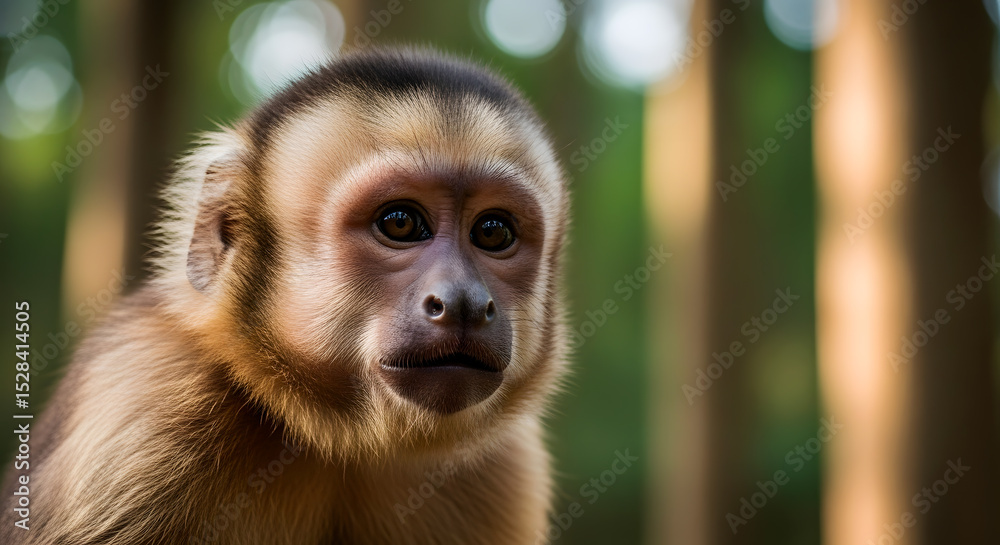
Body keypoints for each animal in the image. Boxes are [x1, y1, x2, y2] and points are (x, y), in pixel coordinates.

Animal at [0, 47, 570, 545]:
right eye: (400, 223)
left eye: (493, 232)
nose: (465, 301)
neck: (340, 437)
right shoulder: (138, 412)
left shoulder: (502, 467)